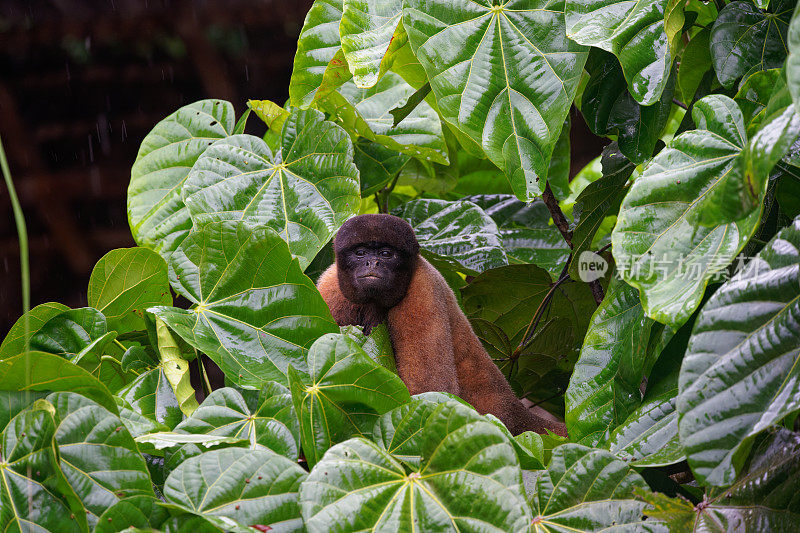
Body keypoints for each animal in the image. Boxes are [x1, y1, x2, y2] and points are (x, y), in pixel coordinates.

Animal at [316, 213, 564, 436]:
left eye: (386, 254)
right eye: (360, 253)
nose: (372, 262)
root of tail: (516, 411)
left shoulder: (424, 290)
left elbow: (431, 389)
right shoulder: (330, 290)